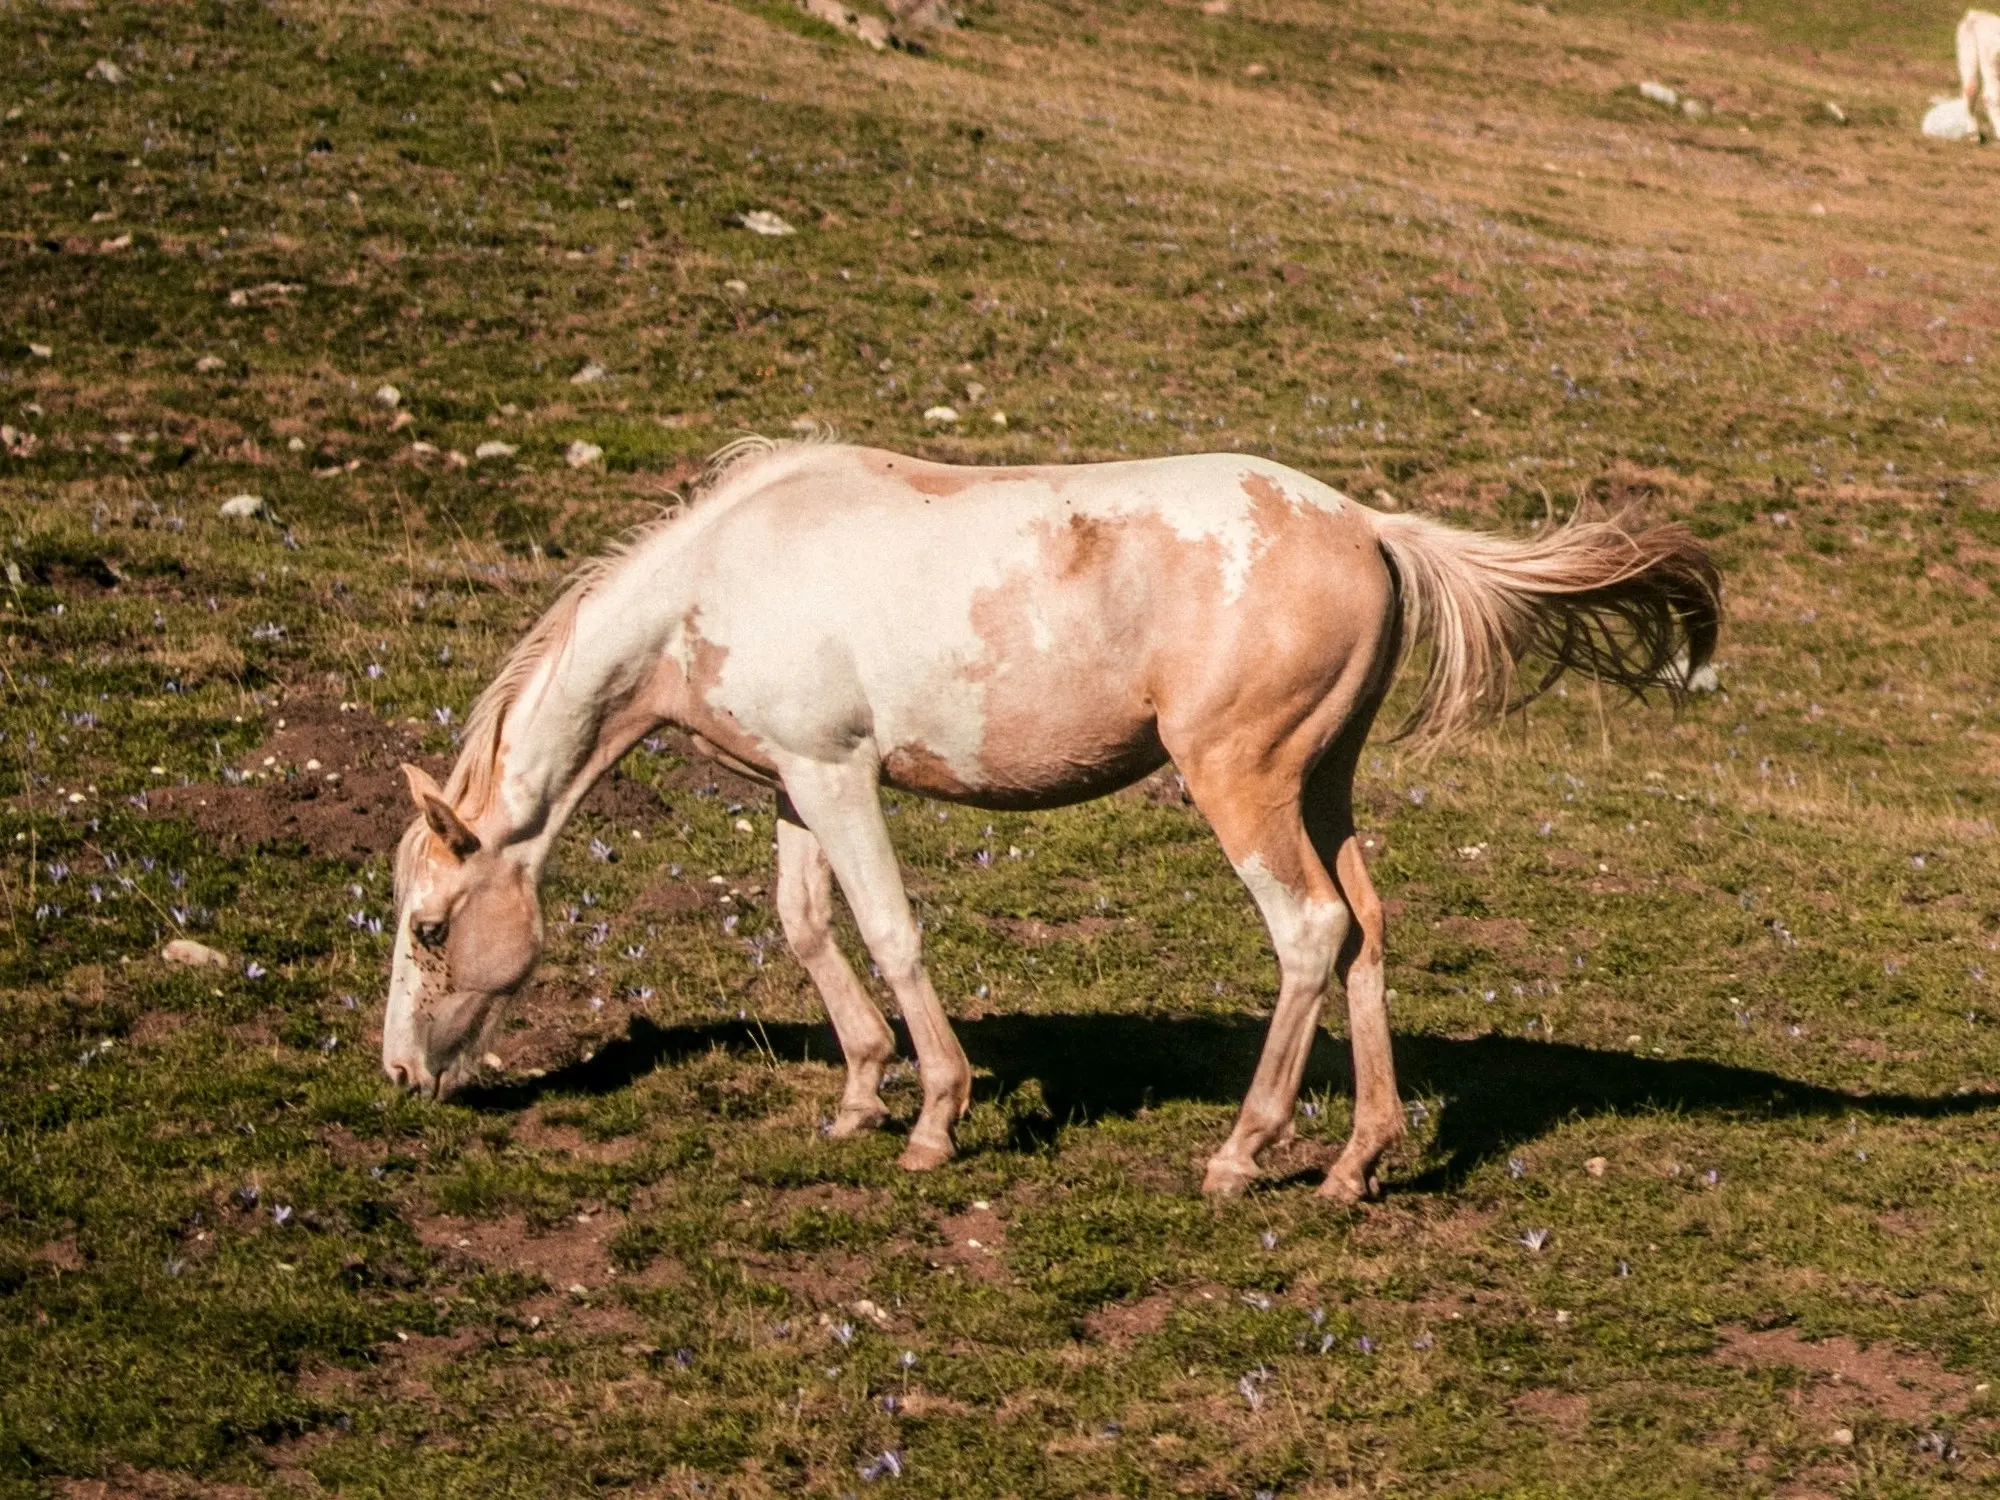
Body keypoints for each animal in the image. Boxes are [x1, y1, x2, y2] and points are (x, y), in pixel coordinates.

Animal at [386, 440, 1720, 1208]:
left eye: (430, 929)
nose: (400, 1073)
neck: (715, 579)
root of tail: (1367, 527)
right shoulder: (793, 787)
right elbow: (808, 927)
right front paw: (856, 1096)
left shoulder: (839, 777)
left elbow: (888, 931)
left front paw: (933, 1119)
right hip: (1321, 782)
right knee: (1366, 932)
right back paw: (1353, 1165)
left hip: (1239, 783)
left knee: (1305, 930)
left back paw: (1241, 1154)